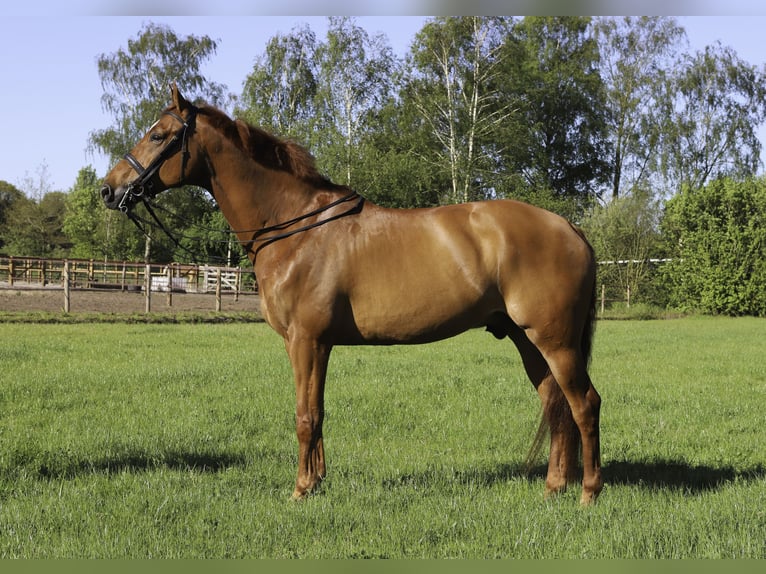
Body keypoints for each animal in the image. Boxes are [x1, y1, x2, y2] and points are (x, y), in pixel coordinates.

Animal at [101, 85, 603, 505]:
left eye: (158, 135)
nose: (109, 189)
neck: (296, 228)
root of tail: (571, 228)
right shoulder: (317, 345)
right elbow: (318, 412)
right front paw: (317, 481)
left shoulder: (306, 341)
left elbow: (305, 416)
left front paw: (301, 489)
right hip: (527, 339)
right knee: (555, 404)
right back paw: (554, 487)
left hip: (554, 341)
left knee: (584, 404)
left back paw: (588, 492)